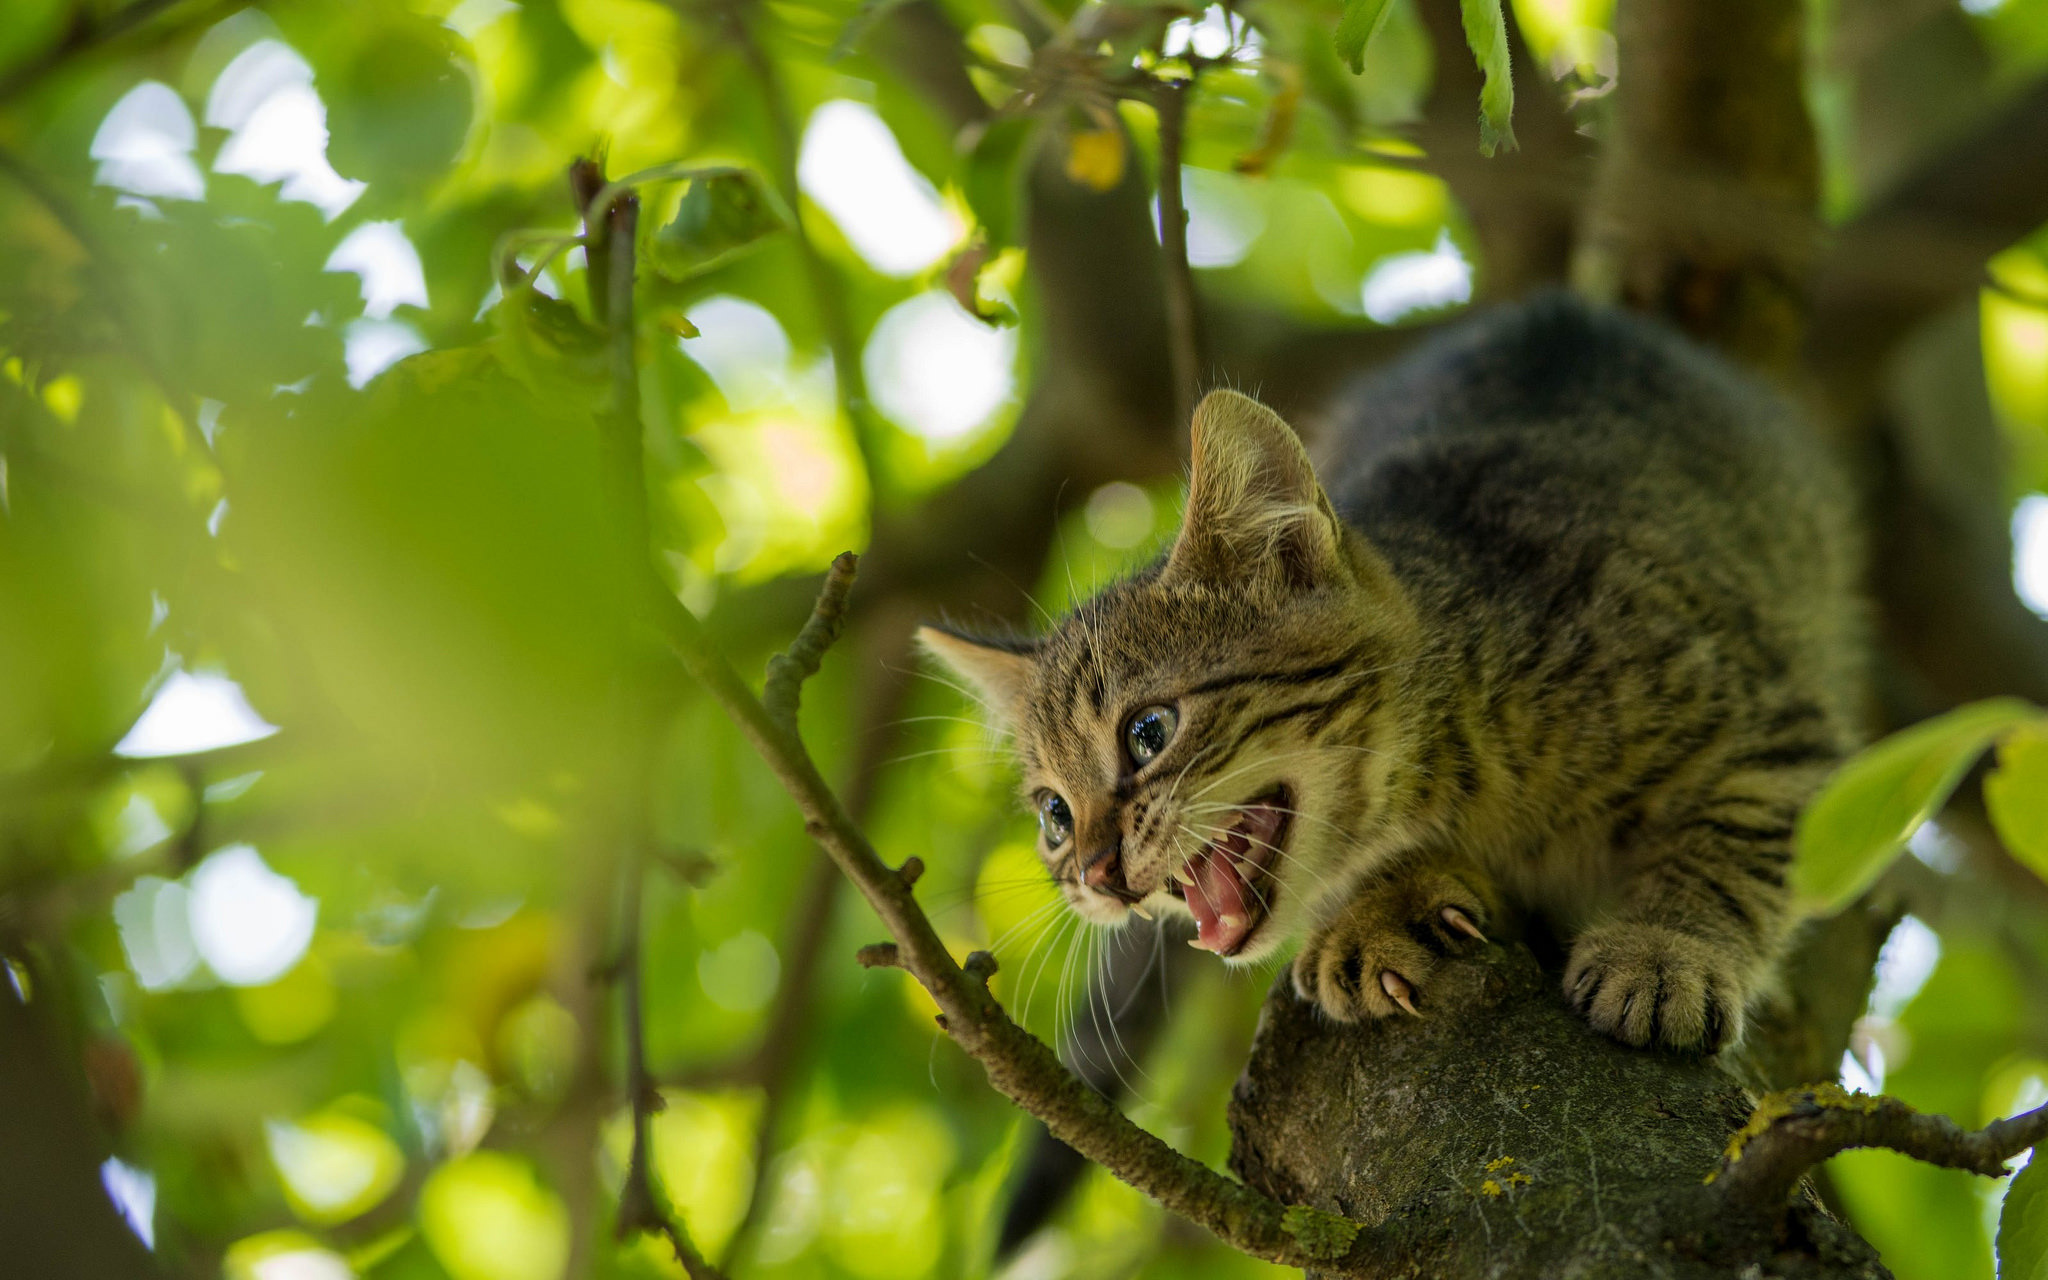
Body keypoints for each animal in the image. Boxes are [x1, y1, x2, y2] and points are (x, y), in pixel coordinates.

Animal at [921, 296, 1867, 1048]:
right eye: (1053, 814)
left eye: (1148, 733)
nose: (1092, 874)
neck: (1463, 771)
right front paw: (1379, 907)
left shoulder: (1777, 732)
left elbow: (1730, 847)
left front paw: (1665, 949)